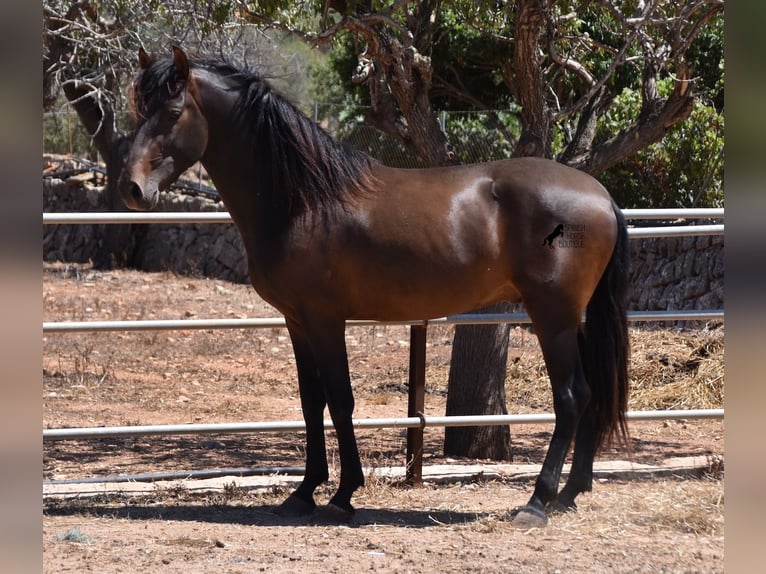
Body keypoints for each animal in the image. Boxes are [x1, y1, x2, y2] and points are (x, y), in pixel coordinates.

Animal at [120, 48, 632, 532]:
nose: (132, 189)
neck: (305, 200)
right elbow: (312, 402)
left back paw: (538, 502)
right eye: (137, 109)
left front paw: (343, 495)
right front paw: (303, 493)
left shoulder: (326, 320)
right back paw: (569, 494)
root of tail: (602, 195)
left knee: (572, 396)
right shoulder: (297, 321)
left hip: (552, 317)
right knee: (592, 393)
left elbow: (340, 400)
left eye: (172, 111)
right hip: (573, 318)